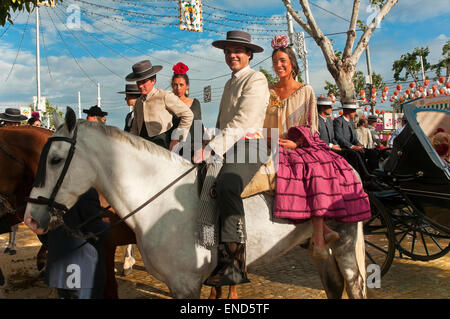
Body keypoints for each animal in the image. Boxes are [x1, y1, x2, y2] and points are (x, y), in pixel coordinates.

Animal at [24, 109, 368, 298]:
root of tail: (346, 164)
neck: (158, 201)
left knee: (353, 285)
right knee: (334, 286)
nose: (30, 217)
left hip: (345, 244)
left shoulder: (186, 285)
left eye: (55, 159)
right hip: (321, 247)